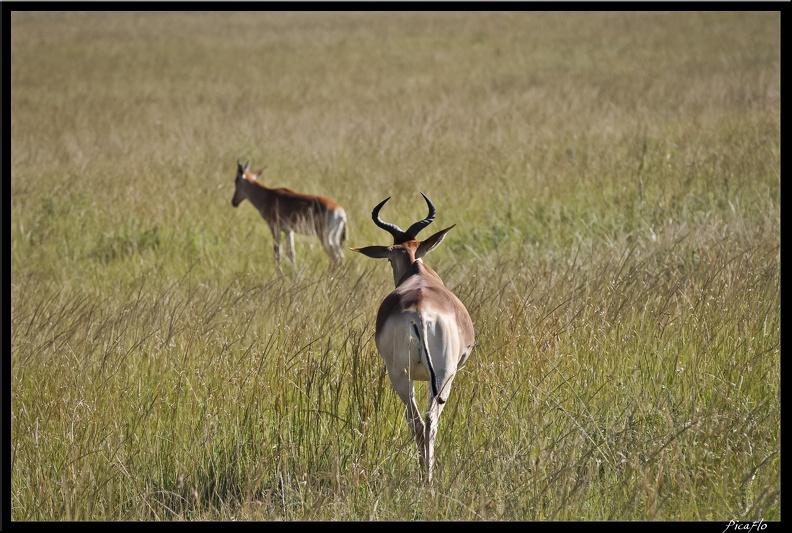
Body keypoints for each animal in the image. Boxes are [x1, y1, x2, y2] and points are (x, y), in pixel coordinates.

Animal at [352, 192, 474, 482]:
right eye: (389, 258)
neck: (419, 275)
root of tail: (420, 312)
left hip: (411, 375)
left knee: (422, 421)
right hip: (437, 374)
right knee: (426, 420)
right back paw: (426, 477)